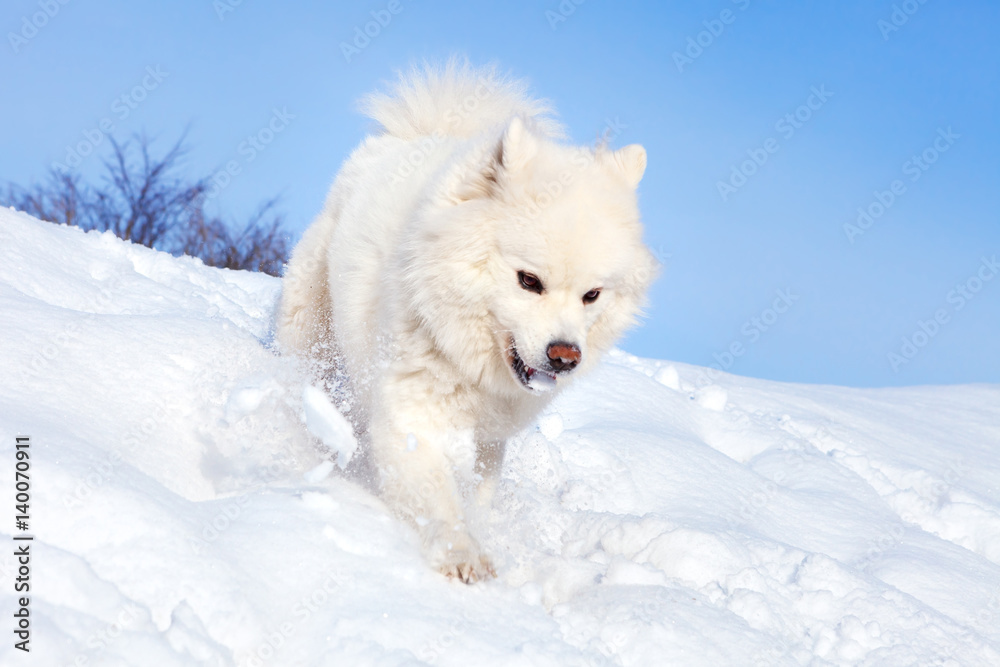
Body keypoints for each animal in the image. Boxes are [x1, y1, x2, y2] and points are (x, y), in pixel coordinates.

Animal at [278, 64, 660, 584]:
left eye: (592, 295)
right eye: (529, 280)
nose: (565, 357)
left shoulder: (490, 442)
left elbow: (478, 493)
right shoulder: (411, 412)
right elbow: (437, 499)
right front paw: (462, 557)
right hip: (309, 317)